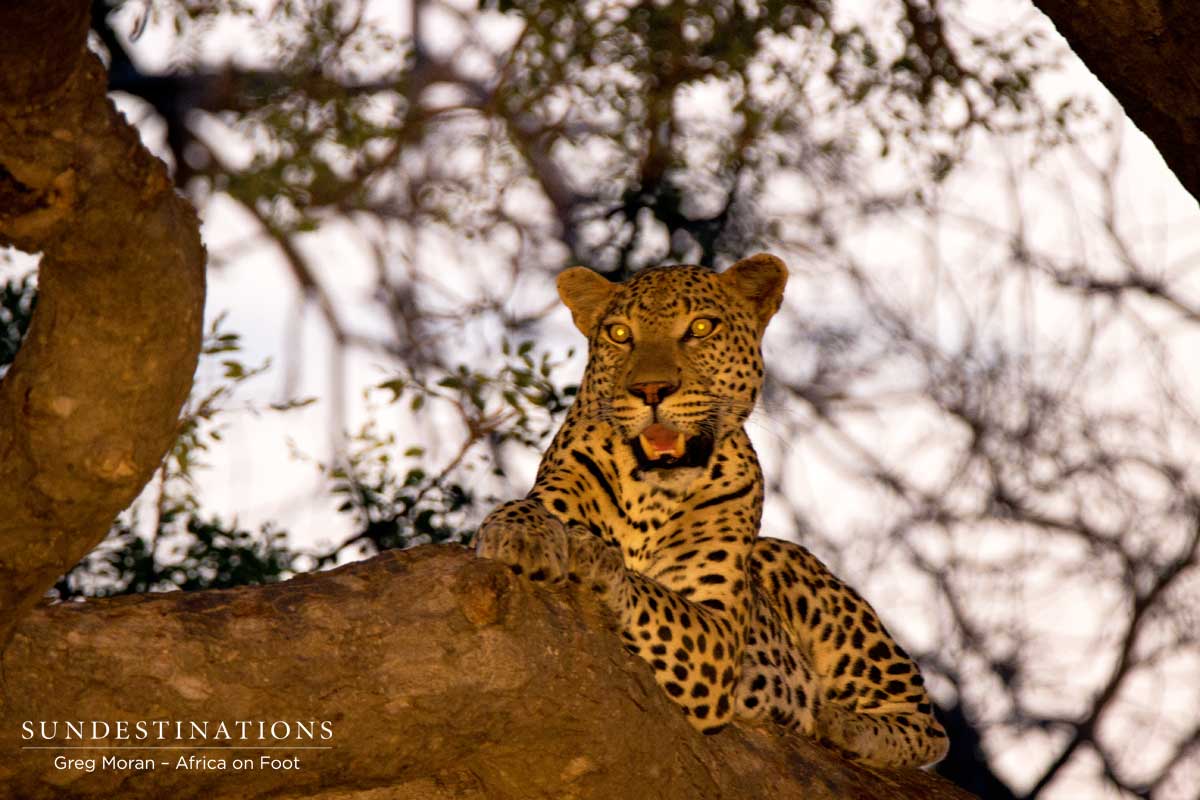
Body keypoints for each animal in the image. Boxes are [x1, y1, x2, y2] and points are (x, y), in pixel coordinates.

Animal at [474, 253, 949, 768]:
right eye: (619, 334)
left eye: (700, 328)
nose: (652, 389)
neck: (651, 494)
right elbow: (522, 508)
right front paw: (522, 536)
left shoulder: (719, 631)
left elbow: (652, 592)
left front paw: (595, 558)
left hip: (796, 568)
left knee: (927, 725)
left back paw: (841, 725)